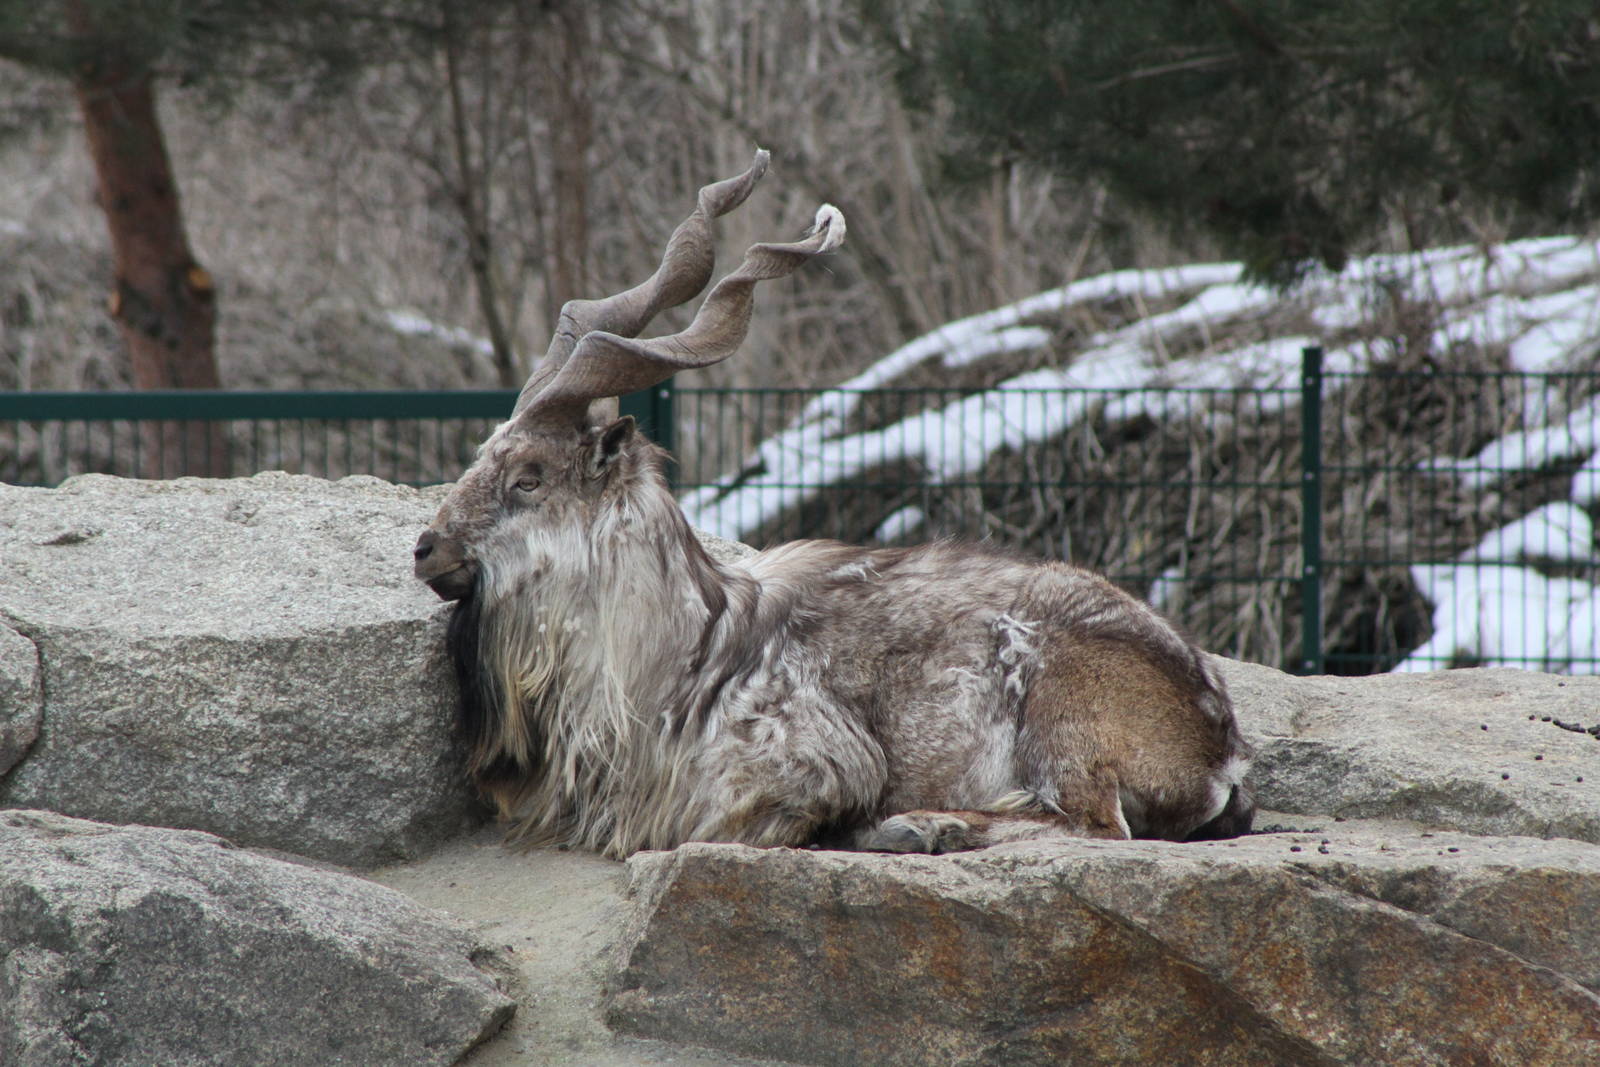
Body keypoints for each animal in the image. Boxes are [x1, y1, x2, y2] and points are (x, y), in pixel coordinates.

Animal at [413, 151, 1254, 858]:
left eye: (528, 476)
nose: (427, 547)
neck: (680, 654)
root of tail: (1219, 743)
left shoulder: (802, 762)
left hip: (1064, 712)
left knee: (1095, 823)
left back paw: (921, 824)